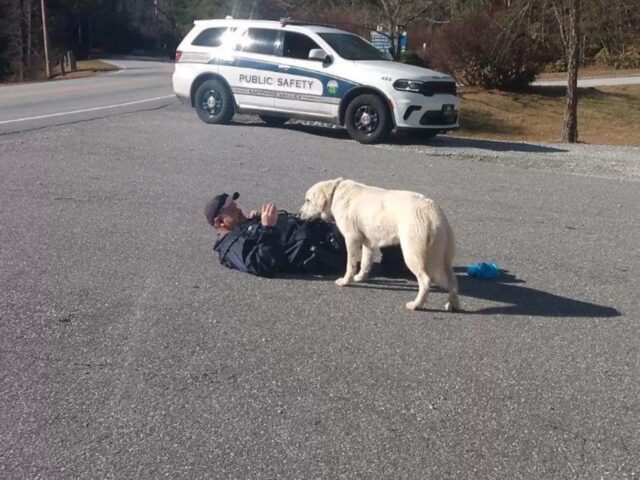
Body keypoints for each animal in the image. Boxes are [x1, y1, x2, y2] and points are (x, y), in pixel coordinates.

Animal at [300, 179, 460, 312]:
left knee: (426, 281)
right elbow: (365, 263)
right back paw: (453, 305)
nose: (299, 214)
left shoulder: (351, 239)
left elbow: (350, 265)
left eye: (308, 200)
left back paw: (416, 305)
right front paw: (360, 277)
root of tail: (433, 212)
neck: (335, 193)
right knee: (453, 282)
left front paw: (346, 281)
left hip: (412, 253)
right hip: (444, 256)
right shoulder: (367, 242)